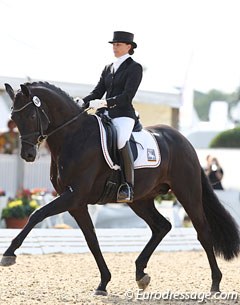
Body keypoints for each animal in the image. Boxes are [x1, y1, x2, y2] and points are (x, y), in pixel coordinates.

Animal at [1, 82, 240, 294]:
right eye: (14, 118)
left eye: (32, 116)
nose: (28, 155)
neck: (73, 136)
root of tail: (183, 140)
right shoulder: (76, 203)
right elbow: (91, 239)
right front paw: (103, 283)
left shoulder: (73, 196)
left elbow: (36, 214)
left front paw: (9, 253)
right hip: (140, 200)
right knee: (162, 226)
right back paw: (141, 274)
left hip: (187, 192)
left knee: (203, 231)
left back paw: (215, 283)